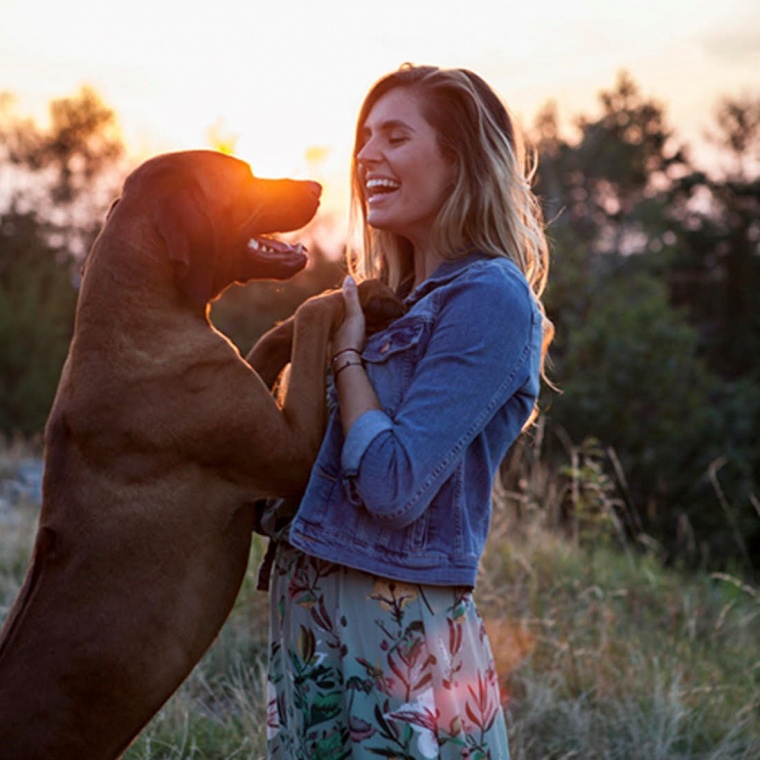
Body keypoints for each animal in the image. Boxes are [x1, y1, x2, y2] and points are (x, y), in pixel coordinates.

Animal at [0, 151, 404, 756]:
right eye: (241, 177)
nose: (315, 185)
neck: (138, 320)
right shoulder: (294, 451)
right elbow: (313, 314)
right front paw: (360, 295)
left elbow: (274, 336)